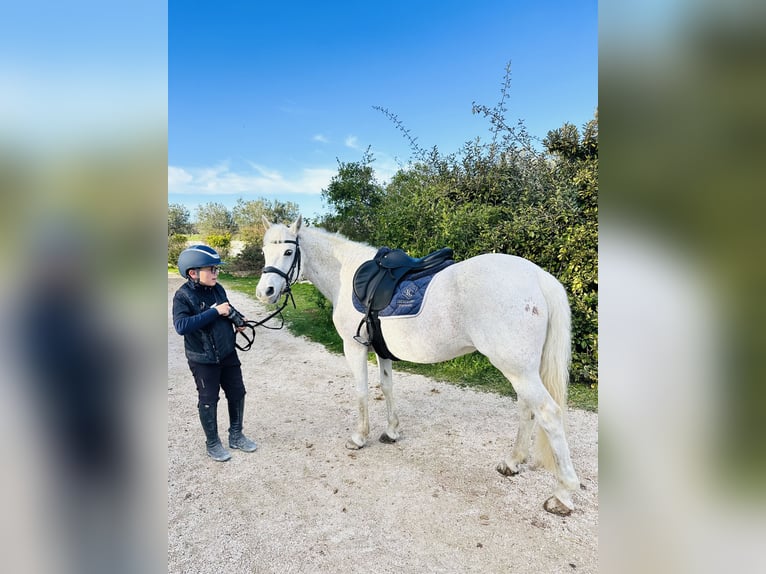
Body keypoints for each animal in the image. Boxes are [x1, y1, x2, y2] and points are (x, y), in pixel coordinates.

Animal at [255, 216, 580, 515]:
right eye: (264, 251)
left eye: (288, 252)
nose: (265, 292)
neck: (345, 275)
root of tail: (538, 276)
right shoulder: (381, 351)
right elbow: (386, 388)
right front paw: (391, 432)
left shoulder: (354, 347)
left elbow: (361, 392)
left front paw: (359, 437)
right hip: (522, 370)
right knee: (527, 410)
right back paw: (513, 462)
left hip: (518, 370)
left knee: (548, 414)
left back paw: (562, 495)